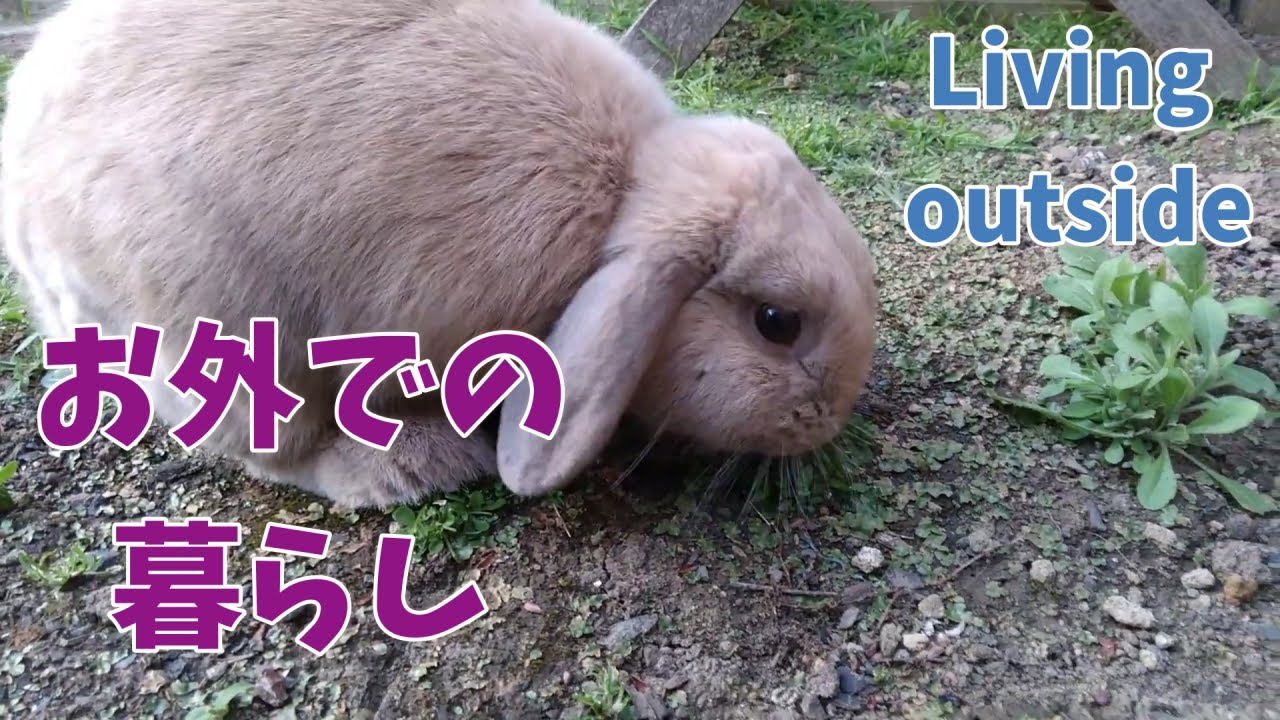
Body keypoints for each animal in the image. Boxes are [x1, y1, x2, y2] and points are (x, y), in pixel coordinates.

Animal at [1, 0, 878, 509]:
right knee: (277, 450)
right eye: (776, 322)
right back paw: (411, 466)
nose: (830, 418)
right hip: (219, 330)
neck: (626, 194)